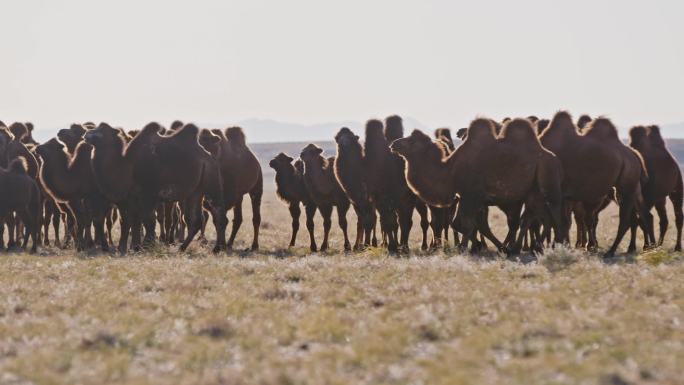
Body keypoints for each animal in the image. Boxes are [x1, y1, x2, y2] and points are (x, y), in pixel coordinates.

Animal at [540, 111, 652, 255]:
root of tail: (635, 155)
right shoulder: (565, 196)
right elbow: (564, 221)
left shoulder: (558, 192)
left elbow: (559, 220)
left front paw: (561, 246)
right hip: (633, 186)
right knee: (645, 215)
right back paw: (652, 247)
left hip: (626, 185)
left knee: (626, 220)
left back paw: (611, 251)